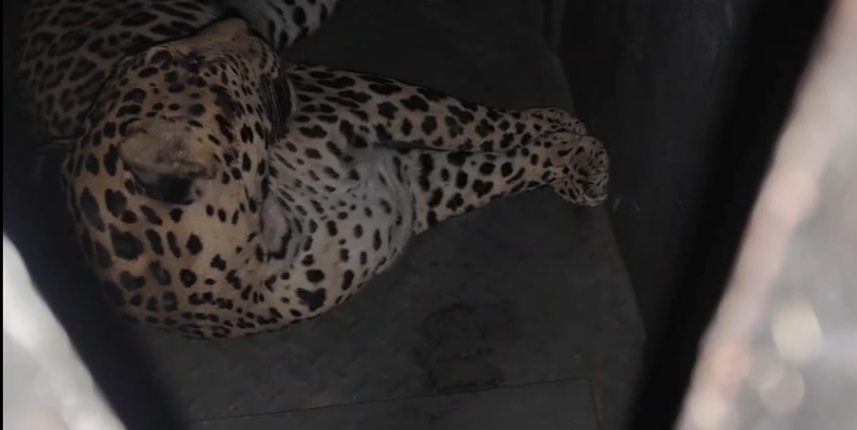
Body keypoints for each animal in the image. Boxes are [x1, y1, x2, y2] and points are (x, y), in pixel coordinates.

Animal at [61, 17, 609, 339]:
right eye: (187, 60)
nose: (241, 23)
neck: (265, 218)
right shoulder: (412, 186)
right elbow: (499, 166)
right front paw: (573, 154)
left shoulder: (380, 113)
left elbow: (482, 127)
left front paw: (577, 150)